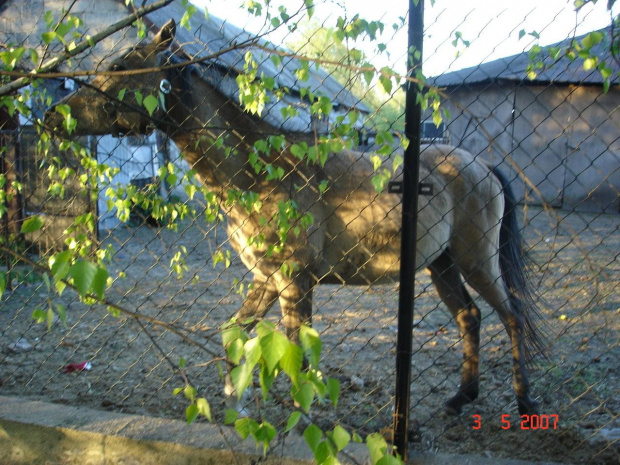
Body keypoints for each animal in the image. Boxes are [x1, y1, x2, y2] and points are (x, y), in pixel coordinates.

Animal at [46, 20, 544, 416]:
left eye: (121, 65)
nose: (52, 116)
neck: (261, 171)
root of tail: (481, 165)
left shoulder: (295, 281)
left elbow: (296, 355)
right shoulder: (266, 279)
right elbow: (233, 331)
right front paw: (235, 397)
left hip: (477, 261)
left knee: (512, 316)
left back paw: (524, 403)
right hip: (441, 263)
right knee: (469, 318)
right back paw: (461, 398)